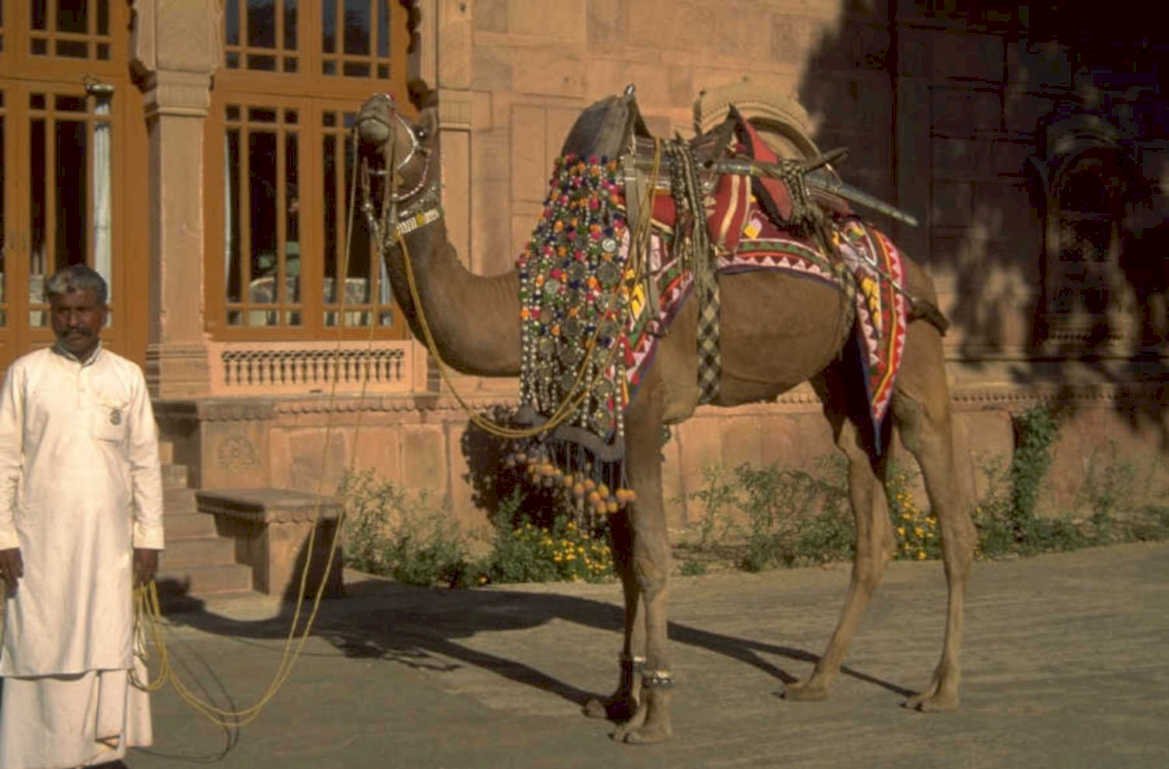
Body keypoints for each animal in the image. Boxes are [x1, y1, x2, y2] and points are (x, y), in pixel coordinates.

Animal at [354, 91, 976, 744]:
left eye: (422, 130)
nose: (372, 110)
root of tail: (908, 262)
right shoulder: (614, 433)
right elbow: (625, 563)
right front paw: (618, 697)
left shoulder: (644, 416)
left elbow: (652, 559)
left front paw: (653, 715)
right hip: (843, 377)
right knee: (867, 500)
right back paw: (816, 680)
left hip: (915, 356)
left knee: (950, 511)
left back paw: (941, 689)